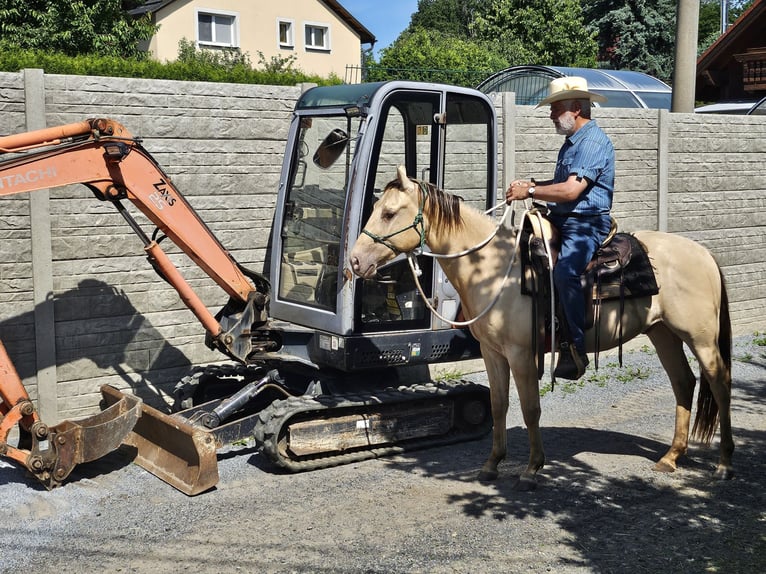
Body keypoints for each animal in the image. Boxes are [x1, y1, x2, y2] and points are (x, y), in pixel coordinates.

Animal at [349, 166, 733, 490]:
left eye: (389, 213)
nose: (355, 261)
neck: (494, 270)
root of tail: (704, 254)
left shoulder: (521, 353)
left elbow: (530, 408)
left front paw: (532, 468)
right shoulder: (492, 353)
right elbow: (499, 405)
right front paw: (492, 464)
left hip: (700, 337)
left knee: (719, 382)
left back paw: (724, 464)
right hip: (663, 332)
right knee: (683, 383)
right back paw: (671, 458)